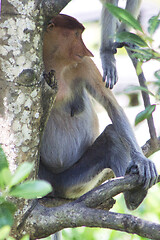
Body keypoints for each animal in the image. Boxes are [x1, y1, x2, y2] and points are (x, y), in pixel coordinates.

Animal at [39, 13, 158, 210]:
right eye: (76, 35)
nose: (88, 51)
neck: (55, 63)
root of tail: (56, 188)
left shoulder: (84, 64)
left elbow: (113, 106)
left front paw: (141, 161)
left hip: (75, 182)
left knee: (112, 135)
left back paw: (134, 192)